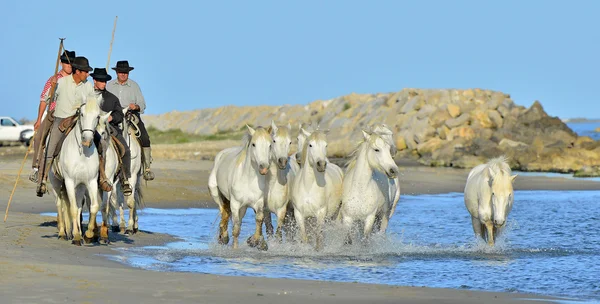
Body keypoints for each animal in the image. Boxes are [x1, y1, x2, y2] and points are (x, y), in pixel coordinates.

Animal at [49, 96, 110, 246]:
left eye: (97, 116)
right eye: (81, 114)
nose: (87, 140)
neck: (82, 154)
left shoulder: (91, 182)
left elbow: (93, 207)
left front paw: (88, 235)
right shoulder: (69, 182)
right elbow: (72, 209)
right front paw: (76, 236)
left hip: (80, 187)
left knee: (77, 206)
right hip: (56, 183)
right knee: (60, 205)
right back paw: (62, 233)